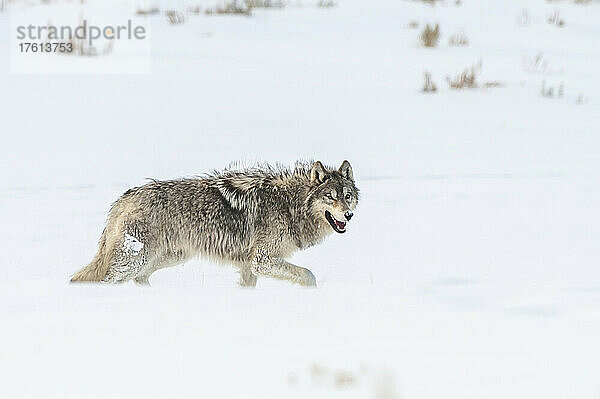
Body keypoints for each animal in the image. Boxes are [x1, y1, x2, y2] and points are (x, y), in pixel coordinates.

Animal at [72, 161, 358, 286]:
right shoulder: (261, 261)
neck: (289, 204)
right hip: (136, 260)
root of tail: (124, 197)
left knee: (139, 278)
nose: (348, 216)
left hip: (170, 257)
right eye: (330, 197)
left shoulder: (249, 266)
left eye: (347, 196)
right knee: (108, 279)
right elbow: (309, 275)